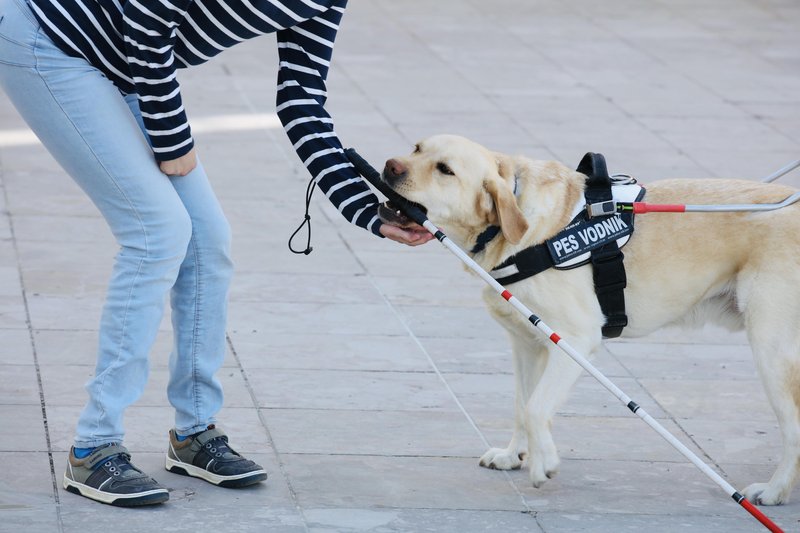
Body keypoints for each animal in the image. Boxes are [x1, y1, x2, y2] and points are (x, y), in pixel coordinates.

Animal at [380, 133, 800, 502]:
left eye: (445, 170)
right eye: (416, 148)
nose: (389, 166)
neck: (513, 227)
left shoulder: (575, 340)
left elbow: (536, 407)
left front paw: (544, 462)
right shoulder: (526, 344)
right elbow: (521, 404)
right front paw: (514, 455)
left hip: (772, 350)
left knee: (794, 429)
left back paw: (775, 491)